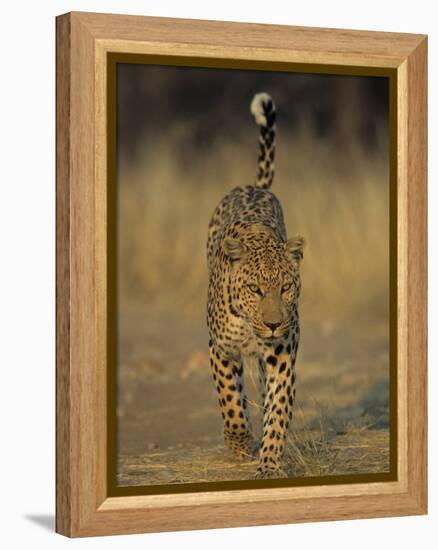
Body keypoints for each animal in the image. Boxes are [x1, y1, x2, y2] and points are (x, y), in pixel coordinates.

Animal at [206, 91, 304, 478]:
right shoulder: (220, 347)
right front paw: (238, 443)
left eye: (286, 288)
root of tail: (254, 186)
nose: (274, 323)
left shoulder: (282, 354)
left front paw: (271, 462)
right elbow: (230, 399)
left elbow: (278, 409)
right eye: (255, 290)